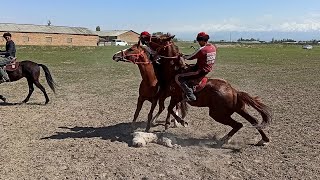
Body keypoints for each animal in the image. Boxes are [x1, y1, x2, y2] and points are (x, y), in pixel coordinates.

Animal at [144, 34, 272, 146]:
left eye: (159, 39)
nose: (145, 39)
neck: (175, 71)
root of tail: (234, 92)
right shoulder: (174, 97)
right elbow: (169, 109)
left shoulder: (176, 96)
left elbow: (170, 109)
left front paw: (182, 122)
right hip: (239, 109)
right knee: (253, 121)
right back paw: (263, 140)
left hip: (217, 114)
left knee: (238, 124)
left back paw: (223, 140)